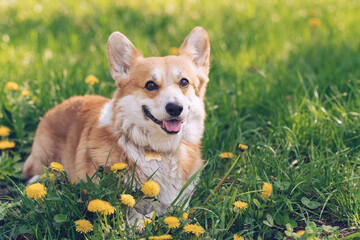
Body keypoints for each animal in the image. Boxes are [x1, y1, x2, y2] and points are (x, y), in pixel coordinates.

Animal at [23, 26, 211, 221]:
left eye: (184, 82)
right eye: (150, 85)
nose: (175, 108)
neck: (158, 151)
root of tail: (59, 105)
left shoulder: (180, 200)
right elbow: (131, 213)